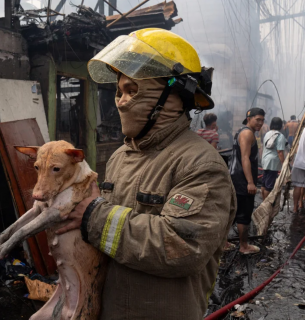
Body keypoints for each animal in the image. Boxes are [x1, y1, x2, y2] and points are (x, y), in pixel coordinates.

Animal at [0, 141, 105, 320]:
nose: (35, 195)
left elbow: (21, 231)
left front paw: (3, 249)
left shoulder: (55, 212)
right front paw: (1, 240)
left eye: (56, 169)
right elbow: (12, 229)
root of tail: (66, 309)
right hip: (37, 316)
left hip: (84, 314)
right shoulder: (37, 210)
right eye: (36, 167)